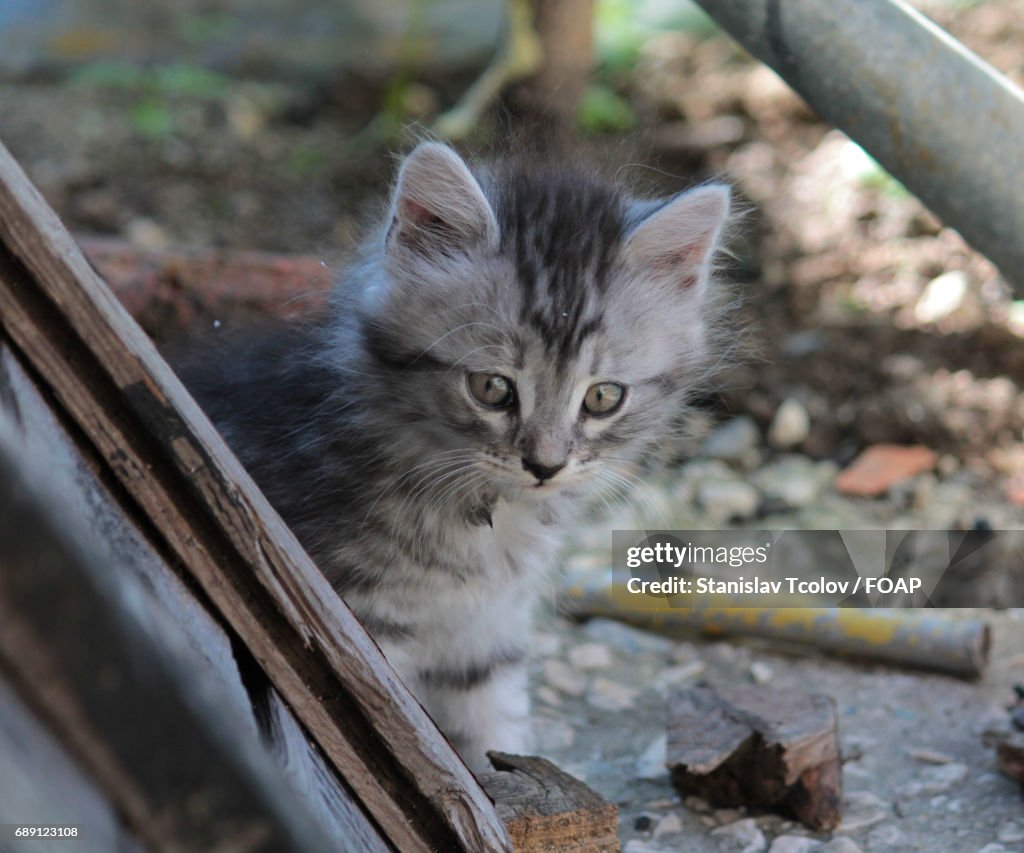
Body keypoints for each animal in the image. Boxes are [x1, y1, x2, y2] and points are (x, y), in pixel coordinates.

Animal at [180, 143, 733, 770]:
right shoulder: (359, 625)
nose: (546, 465)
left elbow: (492, 731)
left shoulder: (486, 635)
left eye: (602, 397)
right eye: (491, 388)